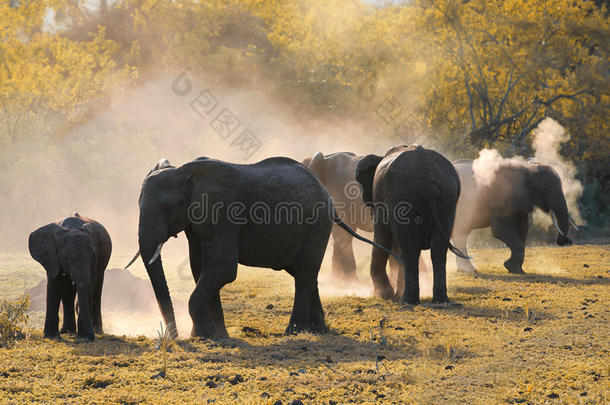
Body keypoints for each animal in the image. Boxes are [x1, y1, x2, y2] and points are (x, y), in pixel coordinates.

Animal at [352, 144, 466, 304]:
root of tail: (430, 183)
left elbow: (382, 239)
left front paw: (383, 295)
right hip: (447, 199)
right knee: (438, 248)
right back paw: (439, 301)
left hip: (404, 197)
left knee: (410, 248)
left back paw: (407, 300)